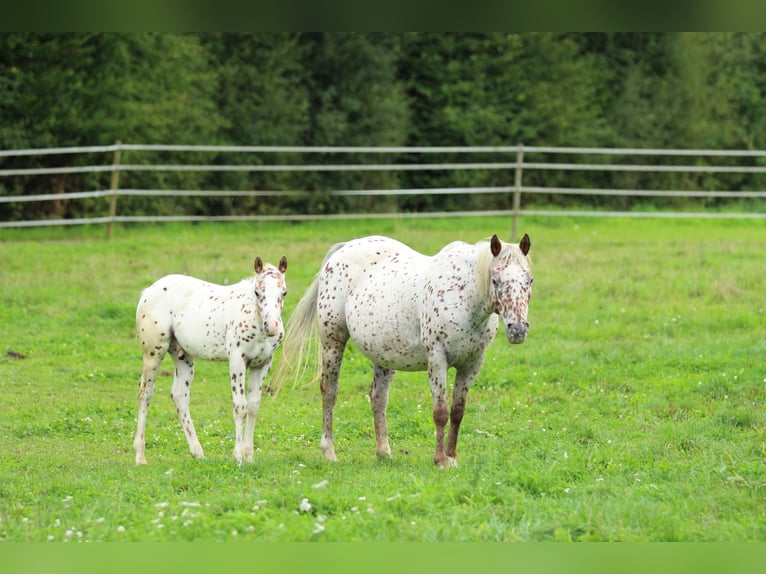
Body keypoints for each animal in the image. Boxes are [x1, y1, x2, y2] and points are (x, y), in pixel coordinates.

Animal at [132, 255, 288, 465]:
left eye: (284, 292)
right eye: (257, 292)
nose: (271, 326)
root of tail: (148, 291)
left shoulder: (263, 363)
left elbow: (254, 406)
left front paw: (249, 456)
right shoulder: (237, 359)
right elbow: (240, 406)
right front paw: (238, 456)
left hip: (183, 355)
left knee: (179, 395)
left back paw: (197, 452)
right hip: (153, 352)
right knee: (145, 393)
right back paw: (140, 456)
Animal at [276, 233, 532, 468]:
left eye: (529, 280)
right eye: (495, 280)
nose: (518, 329)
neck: (464, 296)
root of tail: (344, 248)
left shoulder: (472, 364)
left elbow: (458, 411)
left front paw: (452, 457)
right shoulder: (437, 358)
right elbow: (441, 412)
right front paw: (440, 460)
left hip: (383, 355)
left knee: (378, 397)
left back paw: (384, 453)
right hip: (333, 342)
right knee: (329, 392)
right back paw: (329, 452)